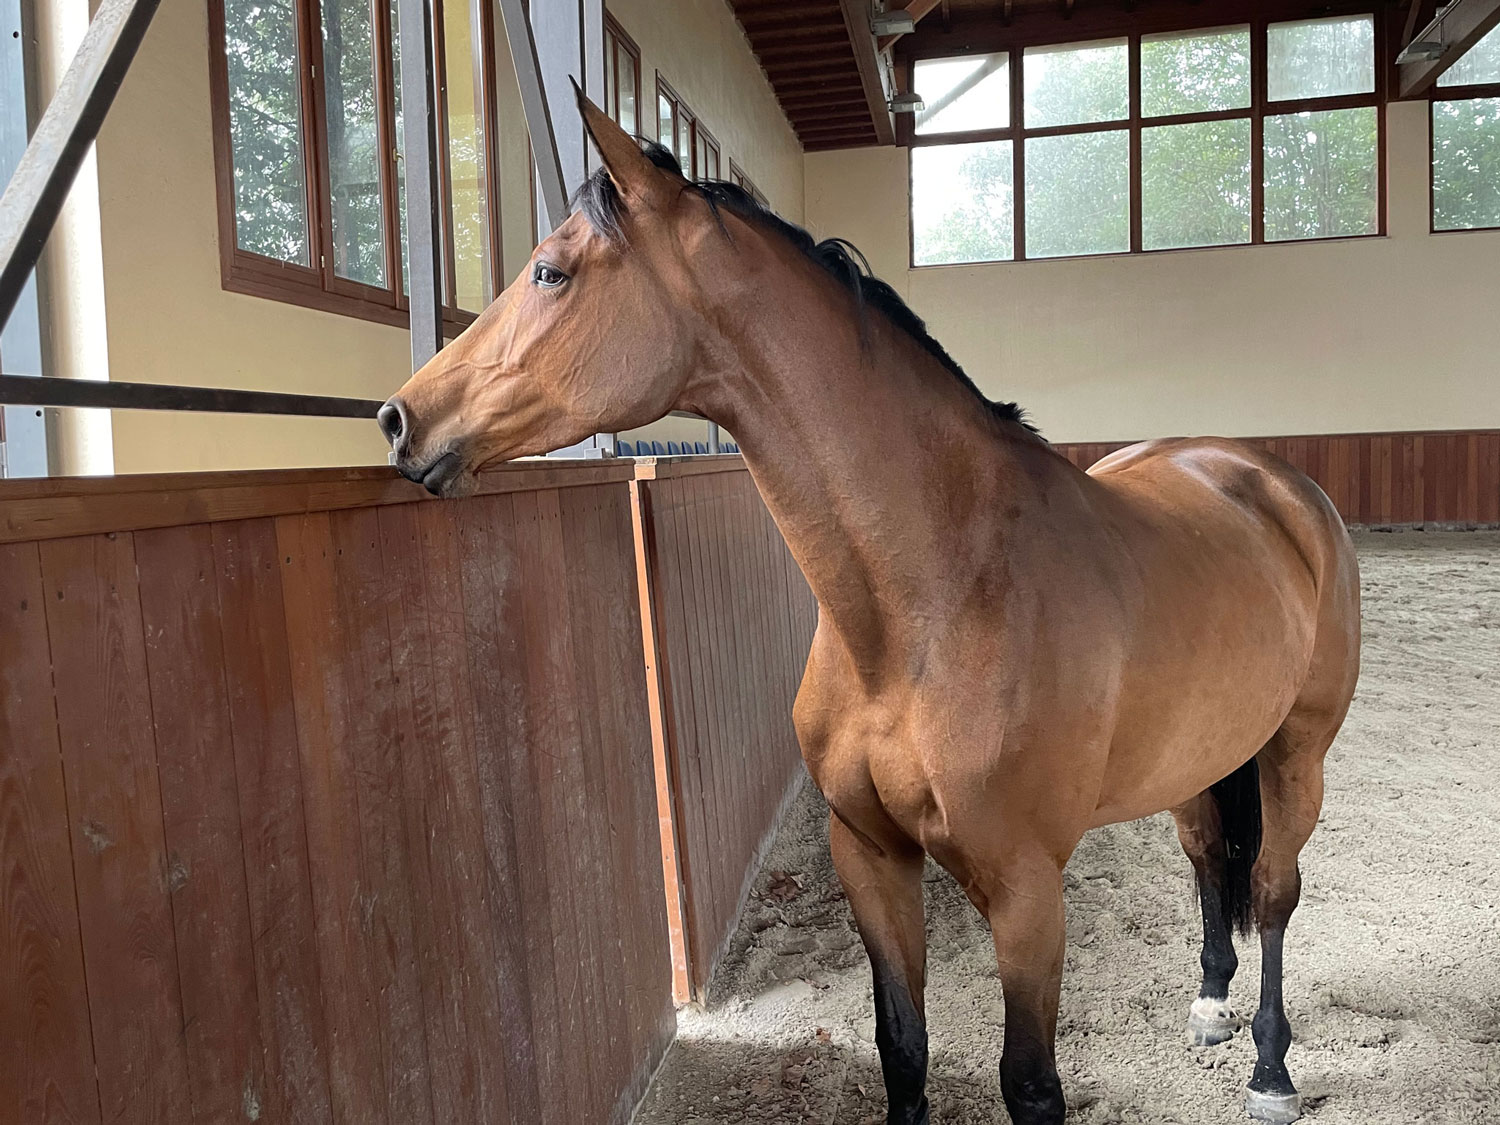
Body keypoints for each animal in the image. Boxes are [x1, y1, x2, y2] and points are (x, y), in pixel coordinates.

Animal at [377, 93, 1360, 1125]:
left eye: (551, 271)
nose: (400, 419)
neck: (933, 603)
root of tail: (1264, 477)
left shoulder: (1026, 890)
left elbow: (1031, 1084)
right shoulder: (870, 857)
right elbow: (903, 1047)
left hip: (1297, 751)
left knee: (1274, 888)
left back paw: (1271, 1067)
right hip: (1198, 757)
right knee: (1209, 856)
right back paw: (1210, 1003)